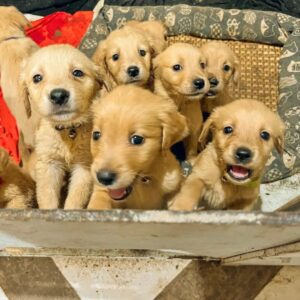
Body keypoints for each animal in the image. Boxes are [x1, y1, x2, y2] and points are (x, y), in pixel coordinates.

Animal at [20, 44, 103, 209]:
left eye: (77, 73)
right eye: (37, 78)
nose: (58, 96)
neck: (68, 131)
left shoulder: (84, 166)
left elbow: (76, 198)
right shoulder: (48, 165)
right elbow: (47, 197)